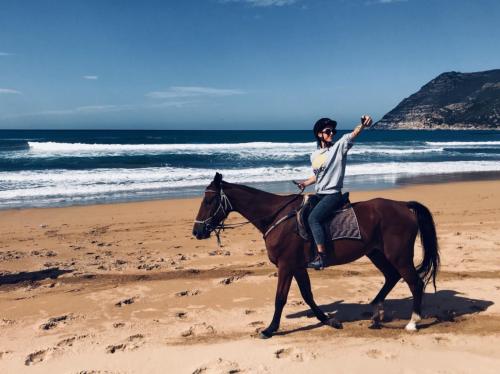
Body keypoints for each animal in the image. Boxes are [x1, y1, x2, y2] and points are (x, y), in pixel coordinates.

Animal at [191, 172, 438, 338]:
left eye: (209, 200)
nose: (197, 231)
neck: (277, 217)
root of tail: (403, 206)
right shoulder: (298, 266)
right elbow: (308, 295)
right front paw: (328, 320)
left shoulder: (286, 265)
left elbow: (280, 298)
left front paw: (270, 329)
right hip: (376, 253)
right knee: (392, 277)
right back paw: (376, 312)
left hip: (399, 255)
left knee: (415, 283)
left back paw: (413, 322)